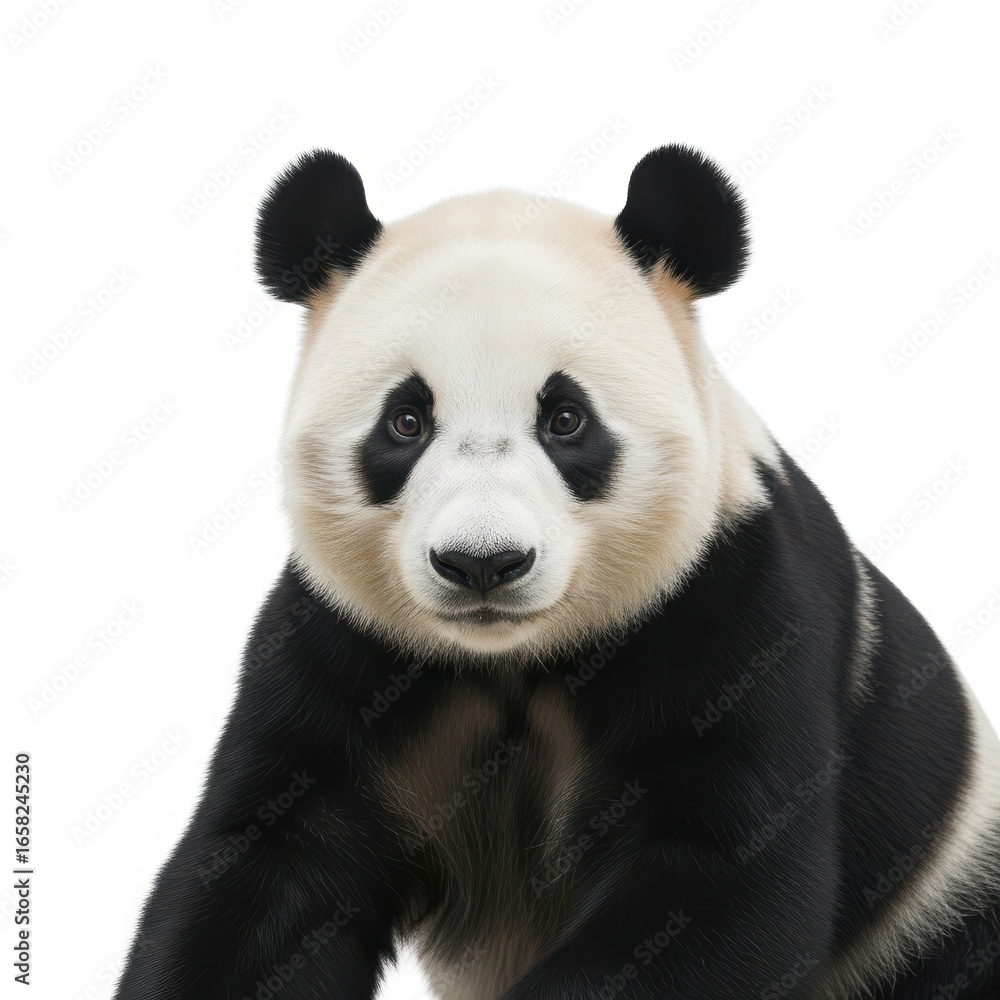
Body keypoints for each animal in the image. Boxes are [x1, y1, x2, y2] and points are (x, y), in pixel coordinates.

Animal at [115, 145, 1000, 1000]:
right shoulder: (348, 646)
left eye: (566, 419)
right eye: (406, 421)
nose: (482, 562)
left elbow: (717, 880)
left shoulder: (731, 608)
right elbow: (269, 870)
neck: (510, 661)